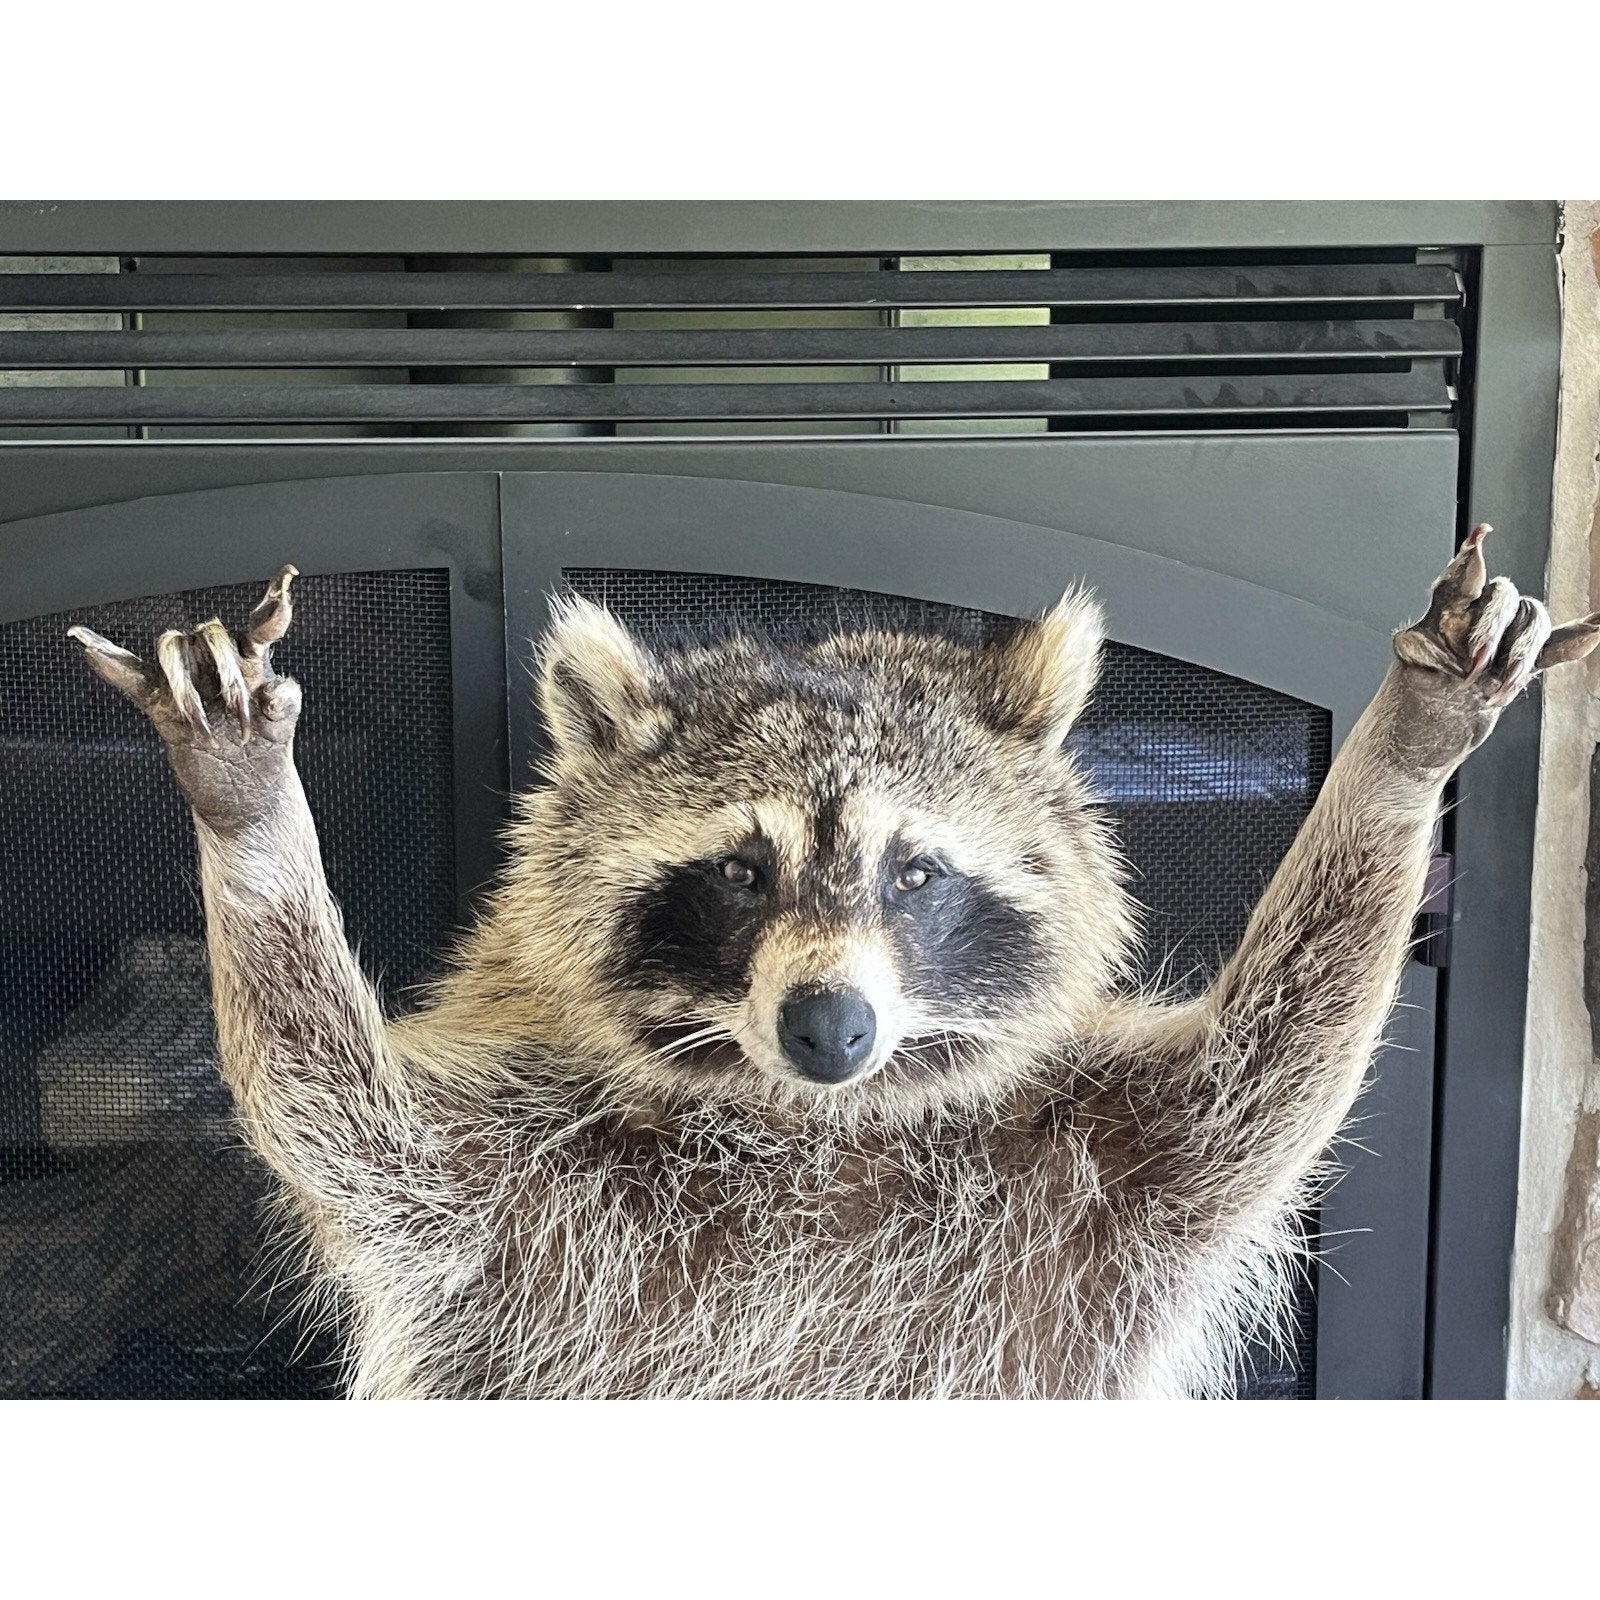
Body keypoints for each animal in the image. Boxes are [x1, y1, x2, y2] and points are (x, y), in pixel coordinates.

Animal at [69, 527, 1600, 1398]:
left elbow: (1275, 1069)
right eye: (740, 874)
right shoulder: (503, 1189)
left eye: (914, 874)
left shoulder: (1109, 1167)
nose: (830, 1028)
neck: (814, 1121)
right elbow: (335, 1112)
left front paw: (1399, 757)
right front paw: (250, 816)